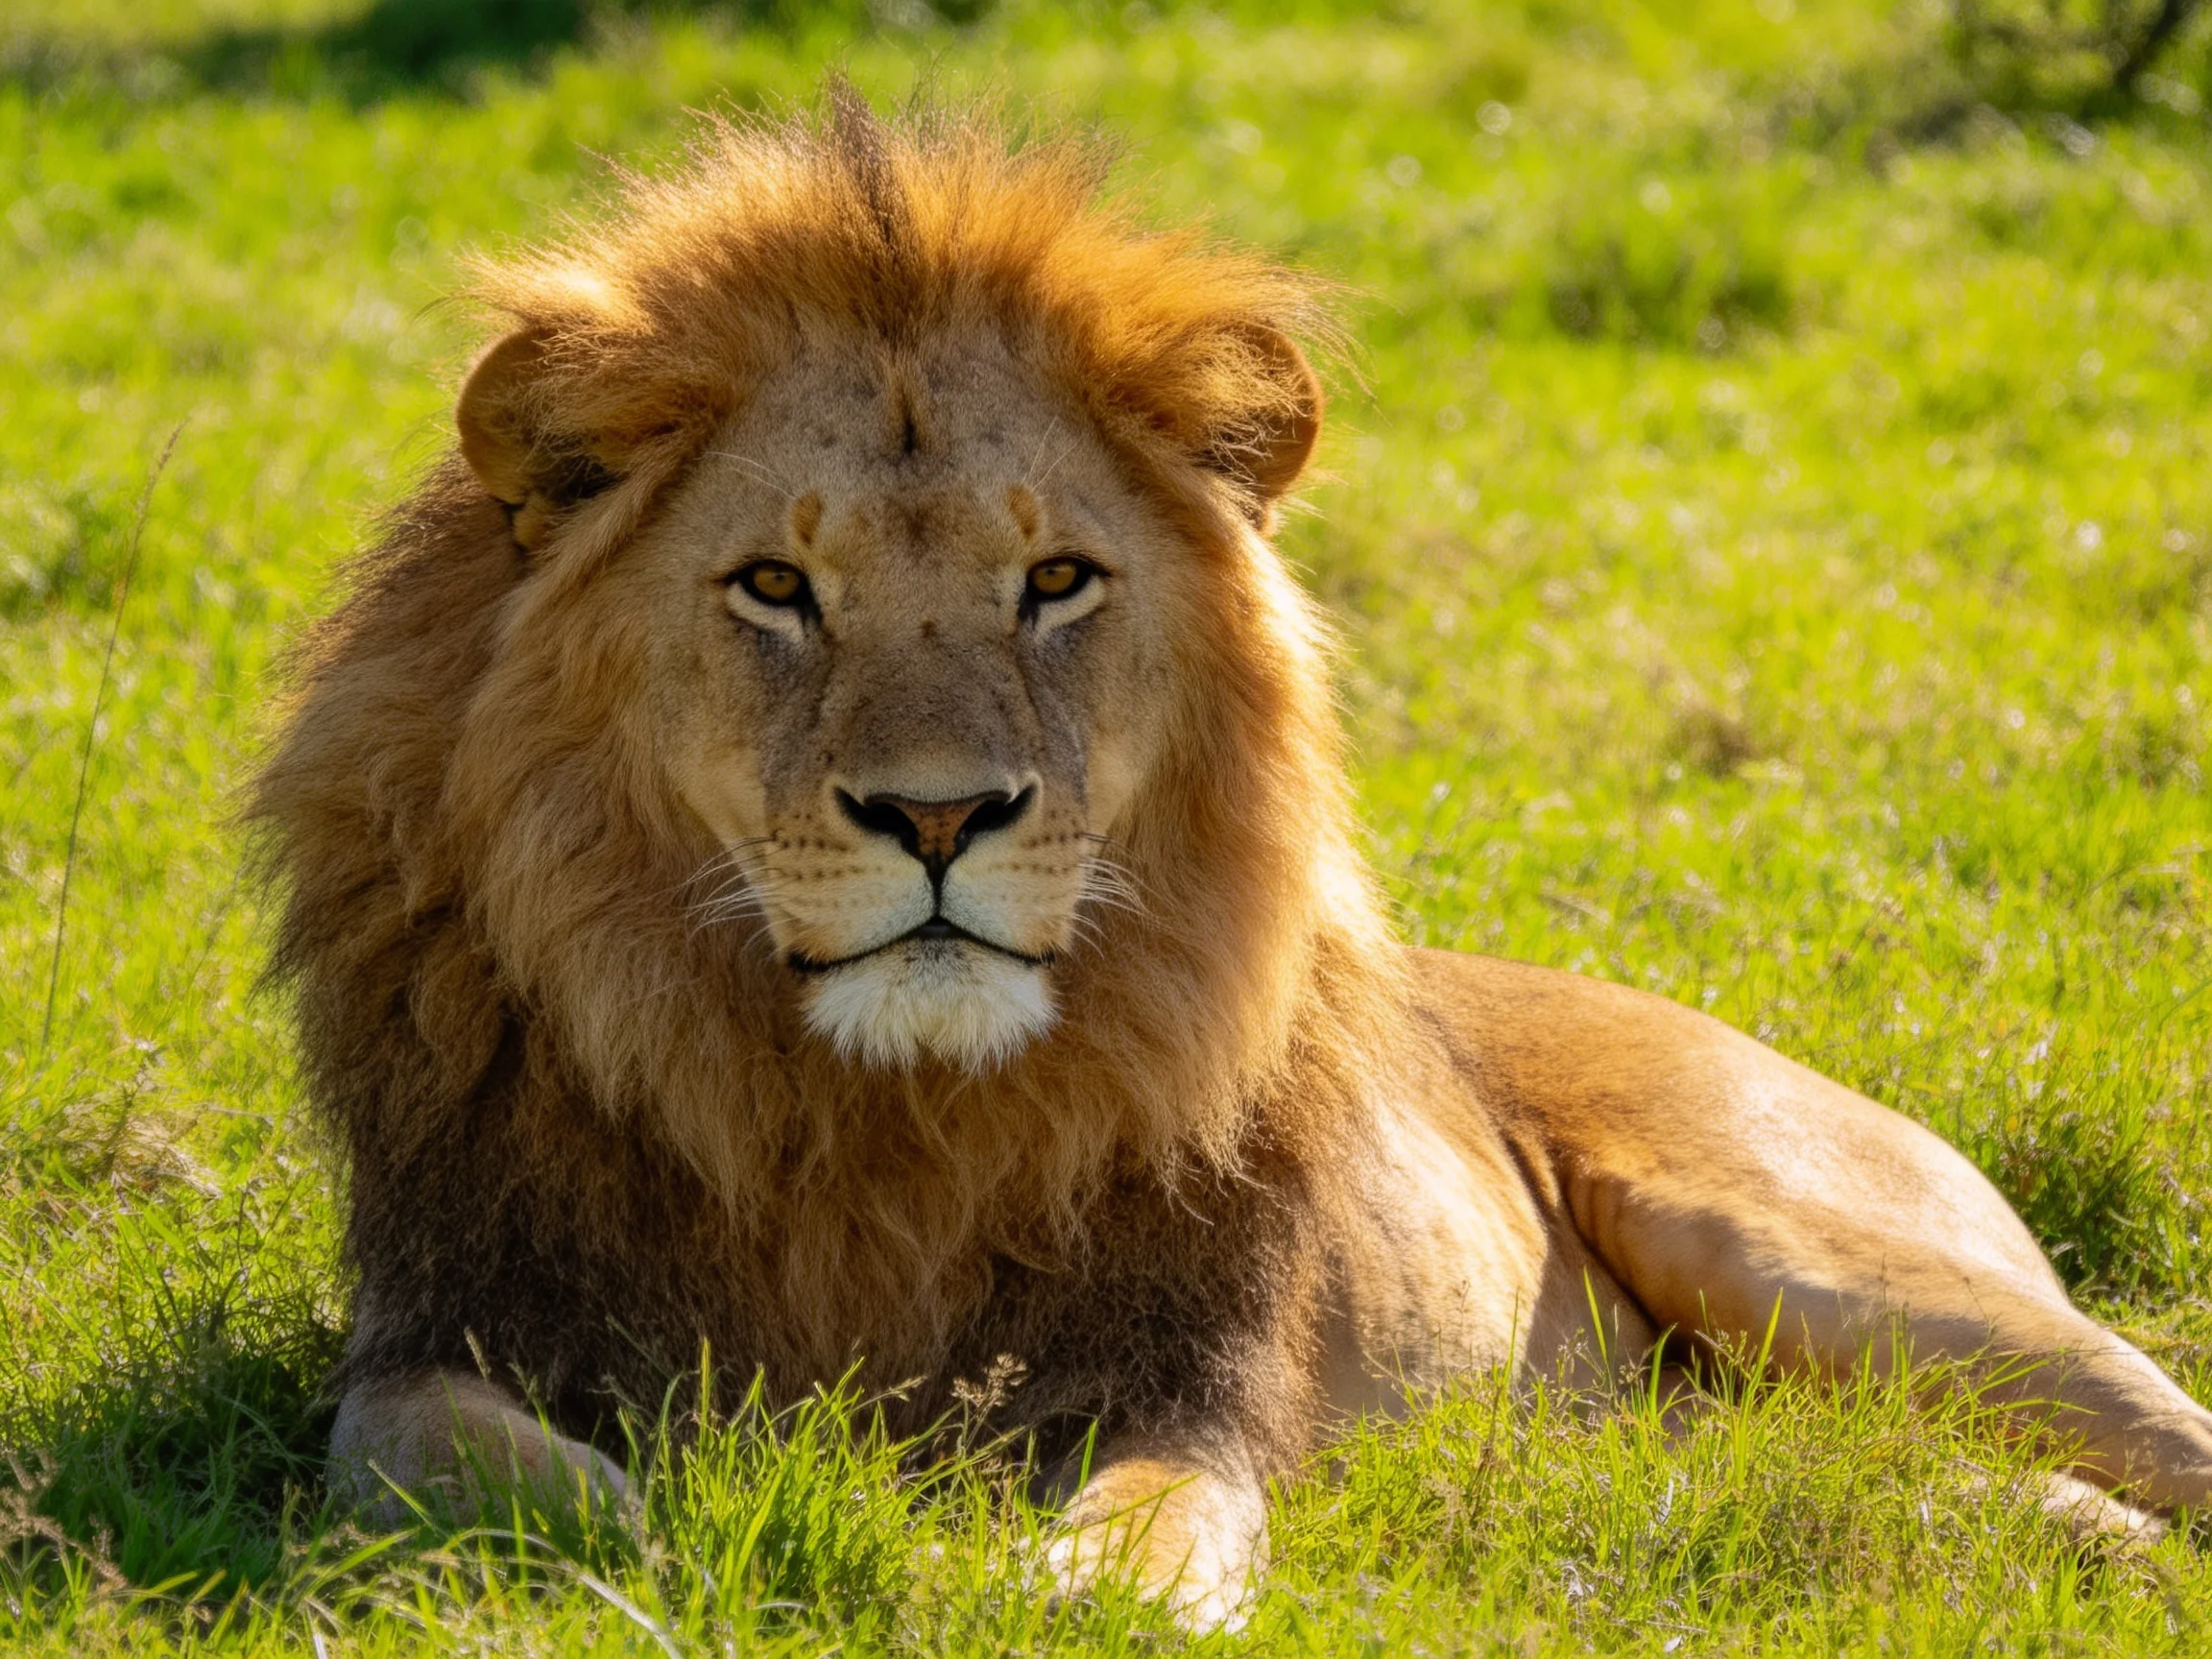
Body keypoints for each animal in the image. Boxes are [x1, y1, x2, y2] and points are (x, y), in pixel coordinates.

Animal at [252, 91, 2212, 1629]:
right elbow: (438, 1458)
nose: (940, 816)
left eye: (1055, 582)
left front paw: (1055, 1586)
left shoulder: (1195, 1376)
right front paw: (651, 1529)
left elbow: (1155, 1525)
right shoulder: (438, 1316)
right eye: (774, 586)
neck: (873, 1117)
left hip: (1819, 1254)